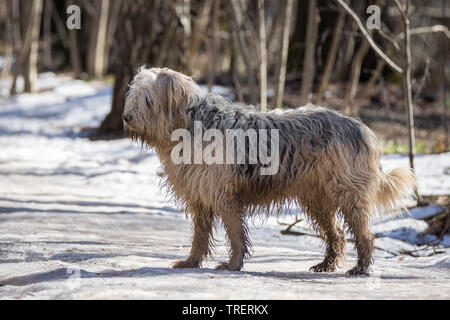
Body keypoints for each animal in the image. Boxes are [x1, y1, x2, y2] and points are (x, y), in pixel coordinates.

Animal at [121, 67, 416, 276]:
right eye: (132, 98)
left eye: (148, 101)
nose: (125, 117)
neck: (189, 125)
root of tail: (361, 128)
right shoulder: (200, 198)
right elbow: (200, 236)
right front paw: (191, 262)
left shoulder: (224, 196)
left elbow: (235, 234)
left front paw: (233, 265)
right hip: (318, 200)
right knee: (337, 234)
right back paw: (326, 265)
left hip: (348, 194)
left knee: (364, 234)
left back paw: (360, 268)